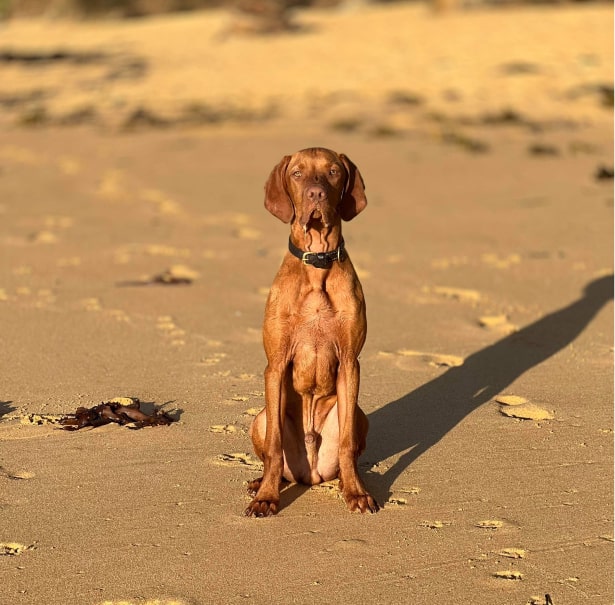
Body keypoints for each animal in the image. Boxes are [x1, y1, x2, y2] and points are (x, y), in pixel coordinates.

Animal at [245, 146, 380, 516]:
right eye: (297, 173)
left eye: (333, 172)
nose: (315, 195)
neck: (318, 261)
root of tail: (311, 474)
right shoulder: (275, 366)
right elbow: (274, 447)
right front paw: (266, 497)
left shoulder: (350, 363)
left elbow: (347, 444)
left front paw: (356, 493)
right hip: (261, 416)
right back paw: (261, 483)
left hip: (359, 415)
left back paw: (351, 482)